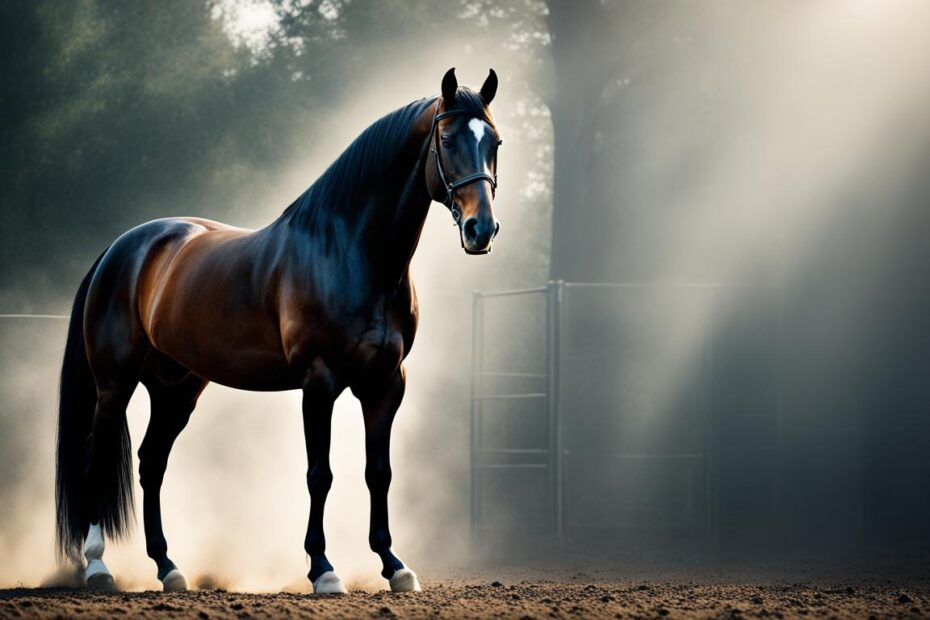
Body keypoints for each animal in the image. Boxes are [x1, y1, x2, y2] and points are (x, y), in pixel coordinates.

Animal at [55, 68, 502, 594]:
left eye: (494, 141)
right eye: (448, 140)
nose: (481, 229)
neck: (348, 251)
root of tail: (119, 250)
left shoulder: (386, 383)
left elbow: (379, 472)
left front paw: (394, 565)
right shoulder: (319, 380)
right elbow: (319, 474)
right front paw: (323, 569)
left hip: (175, 389)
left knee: (152, 464)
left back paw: (168, 567)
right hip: (114, 384)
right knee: (96, 461)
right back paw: (98, 567)